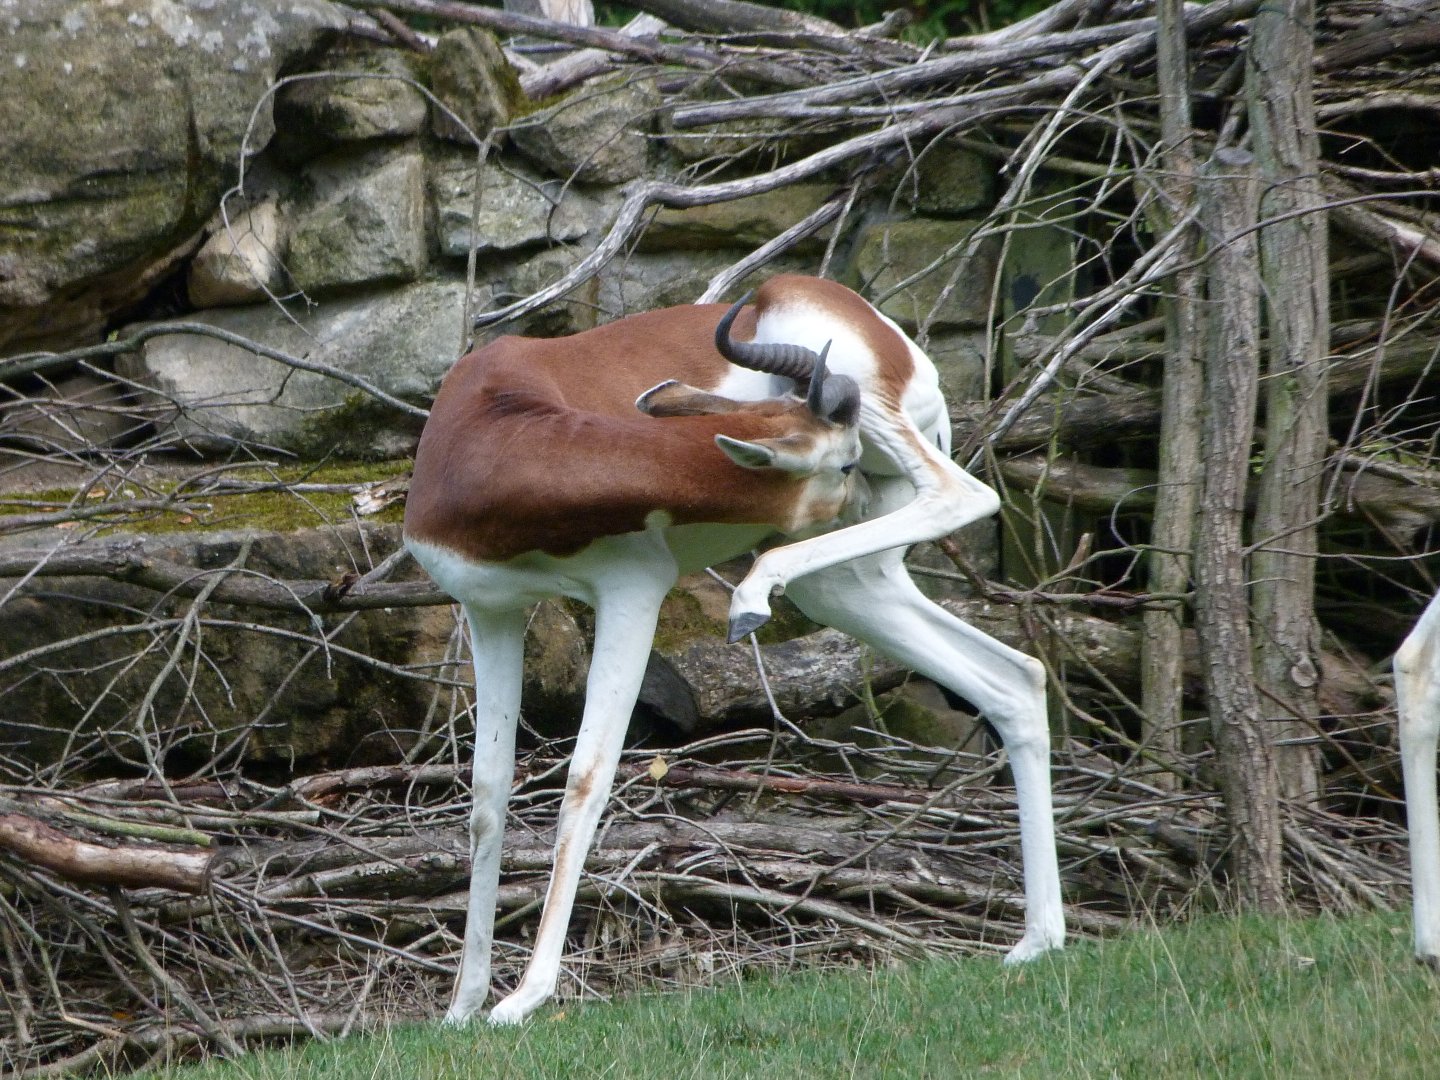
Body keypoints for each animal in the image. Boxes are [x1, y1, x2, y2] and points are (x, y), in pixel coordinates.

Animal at [403, 274, 1065, 1026]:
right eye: (842, 462)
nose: (861, 488)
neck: (493, 427)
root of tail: (896, 340)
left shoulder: (631, 590)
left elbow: (585, 782)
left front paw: (525, 997)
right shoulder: (491, 611)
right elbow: (486, 798)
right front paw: (463, 1005)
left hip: (871, 440)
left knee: (964, 494)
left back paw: (753, 595)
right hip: (850, 582)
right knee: (1013, 679)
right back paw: (1038, 940)